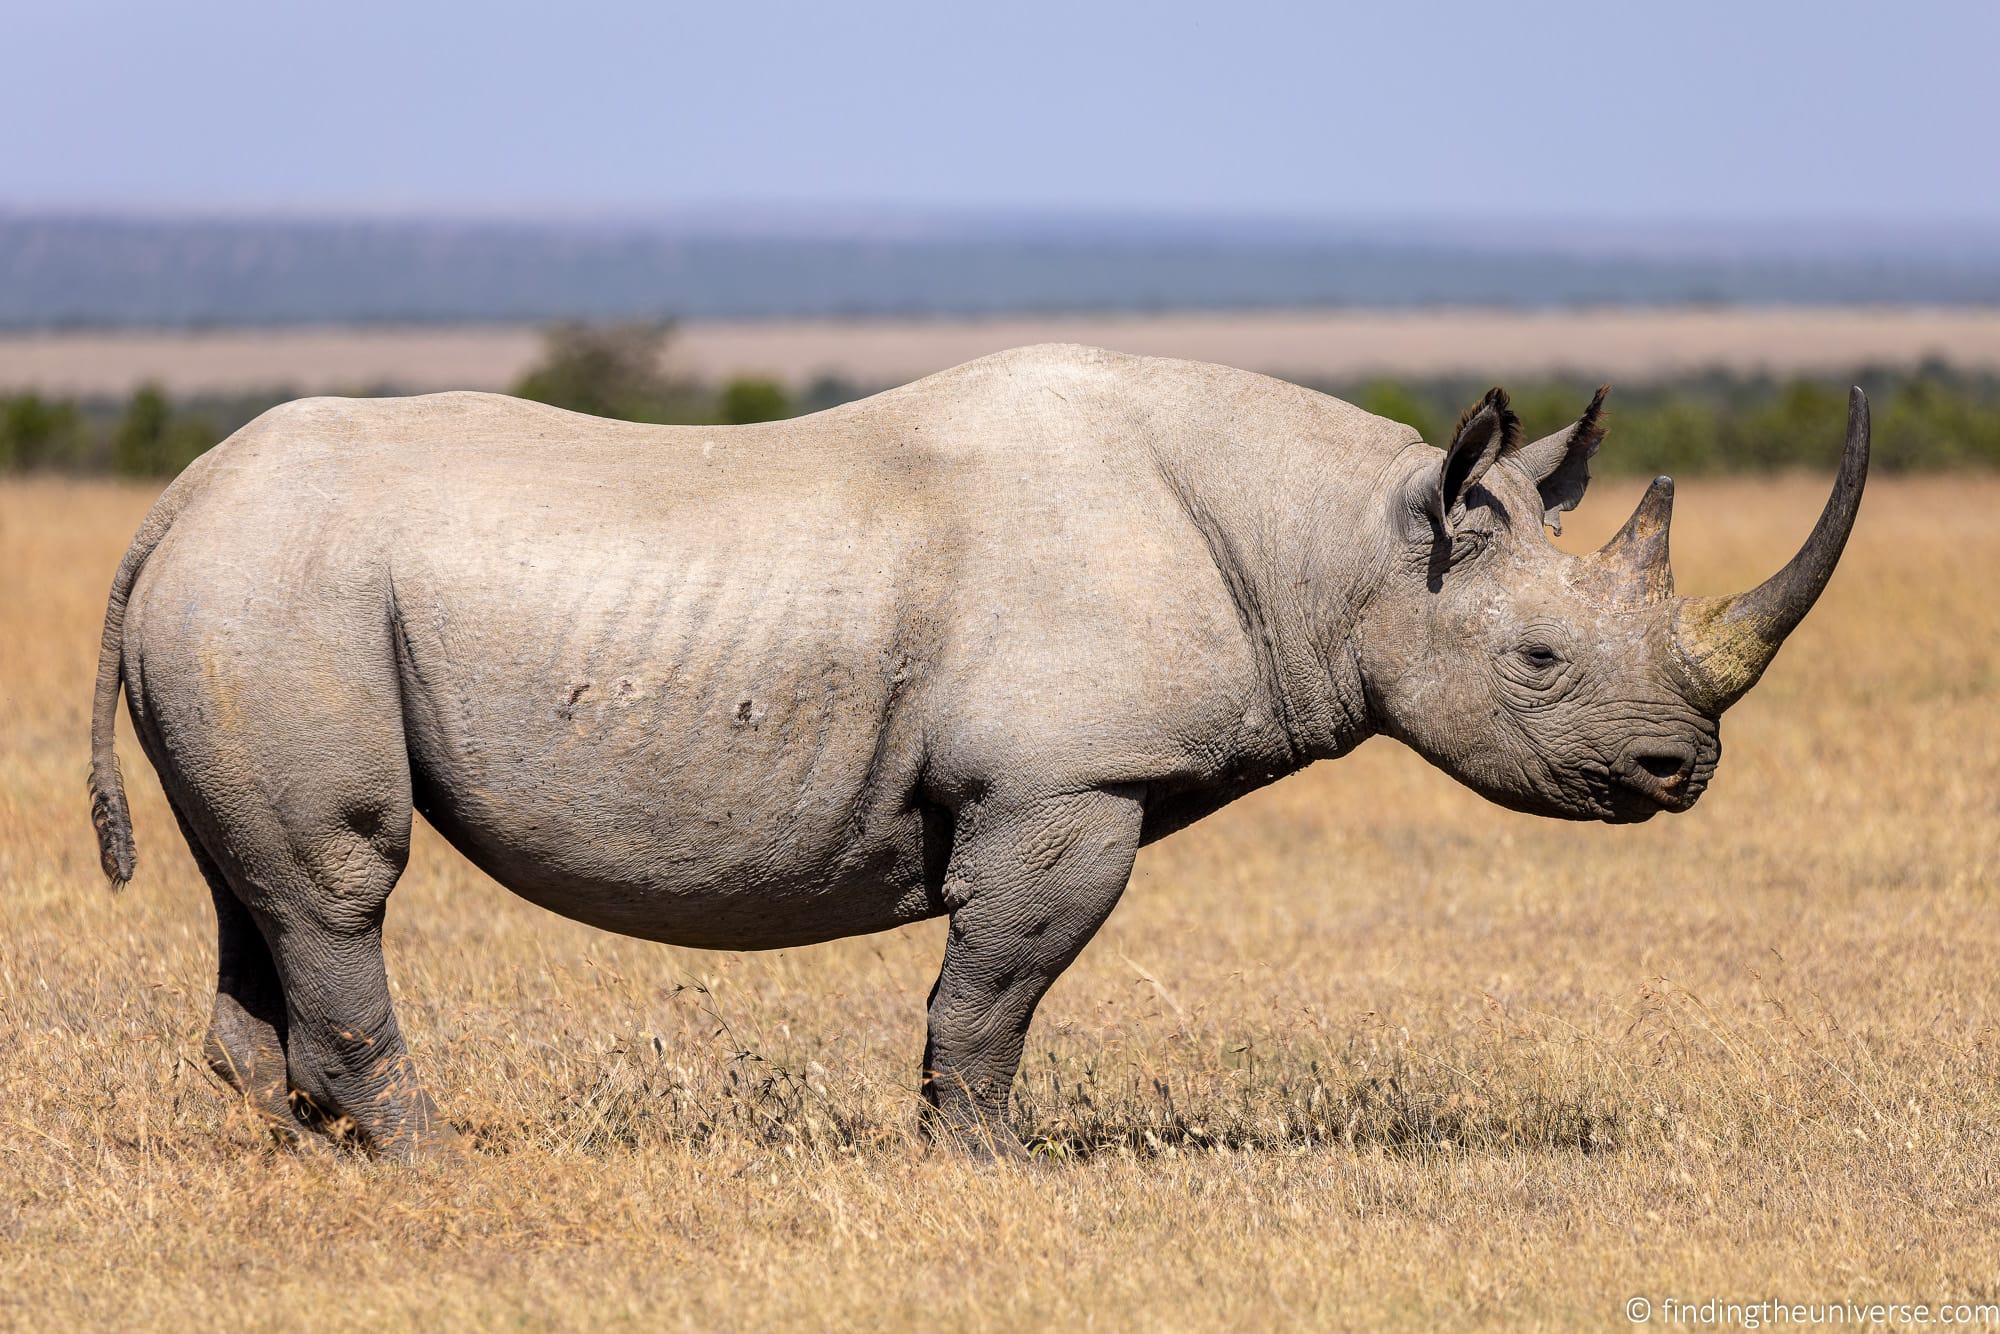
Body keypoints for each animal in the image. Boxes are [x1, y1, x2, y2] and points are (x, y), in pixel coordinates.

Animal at [87, 345, 1868, 1158]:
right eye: (1541, 662)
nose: (1679, 776)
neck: (1346, 544)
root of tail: (172, 499)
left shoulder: (1059, 784)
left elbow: (993, 984)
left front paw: (977, 1155)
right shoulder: (1066, 785)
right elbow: (999, 984)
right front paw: (994, 1165)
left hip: (250, 599)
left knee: (264, 885)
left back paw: (302, 1149)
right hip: (280, 592)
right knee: (341, 877)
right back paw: (433, 1158)